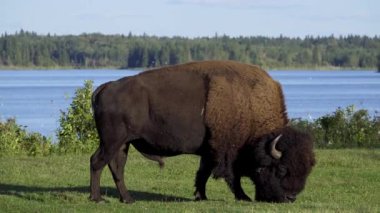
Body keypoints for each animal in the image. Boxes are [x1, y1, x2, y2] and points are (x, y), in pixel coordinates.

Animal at [89, 60, 314, 203]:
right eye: (282, 169)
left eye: (307, 170)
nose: (291, 198)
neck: (249, 104)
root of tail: (105, 87)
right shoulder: (226, 153)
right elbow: (231, 177)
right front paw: (243, 197)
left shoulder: (210, 151)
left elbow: (203, 173)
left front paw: (201, 196)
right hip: (112, 141)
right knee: (98, 162)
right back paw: (97, 199)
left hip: (122, 143)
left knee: (116, 167)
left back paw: (127, 199)